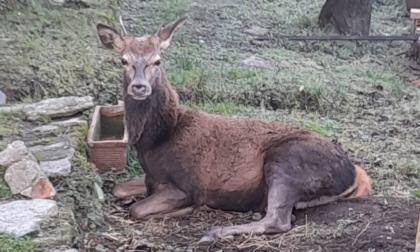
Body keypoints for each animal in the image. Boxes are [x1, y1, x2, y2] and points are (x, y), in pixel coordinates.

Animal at [95, 13, 370, 242]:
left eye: (157, 61)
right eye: (123, 60)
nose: (139, 86)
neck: (155, 143)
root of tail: (354, 174)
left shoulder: (186, 185)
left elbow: (137, 209)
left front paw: (186, 209)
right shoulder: (150, 178)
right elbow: (119, 187)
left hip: (286, 161)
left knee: (278, 220)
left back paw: (214, 232)